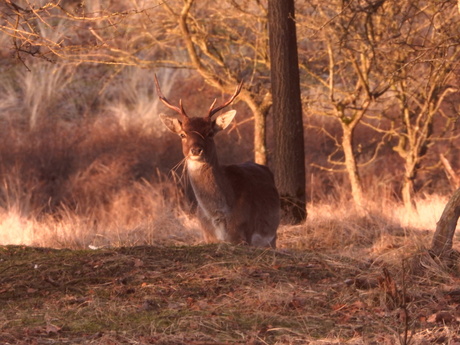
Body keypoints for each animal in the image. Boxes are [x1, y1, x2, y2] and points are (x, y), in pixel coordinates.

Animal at [155, 75, 280, 247]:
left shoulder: (244, 235)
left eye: (210, 133)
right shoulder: (207, 236)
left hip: (272, 236)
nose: (196, 150)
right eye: (182, 134)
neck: (218, 217)